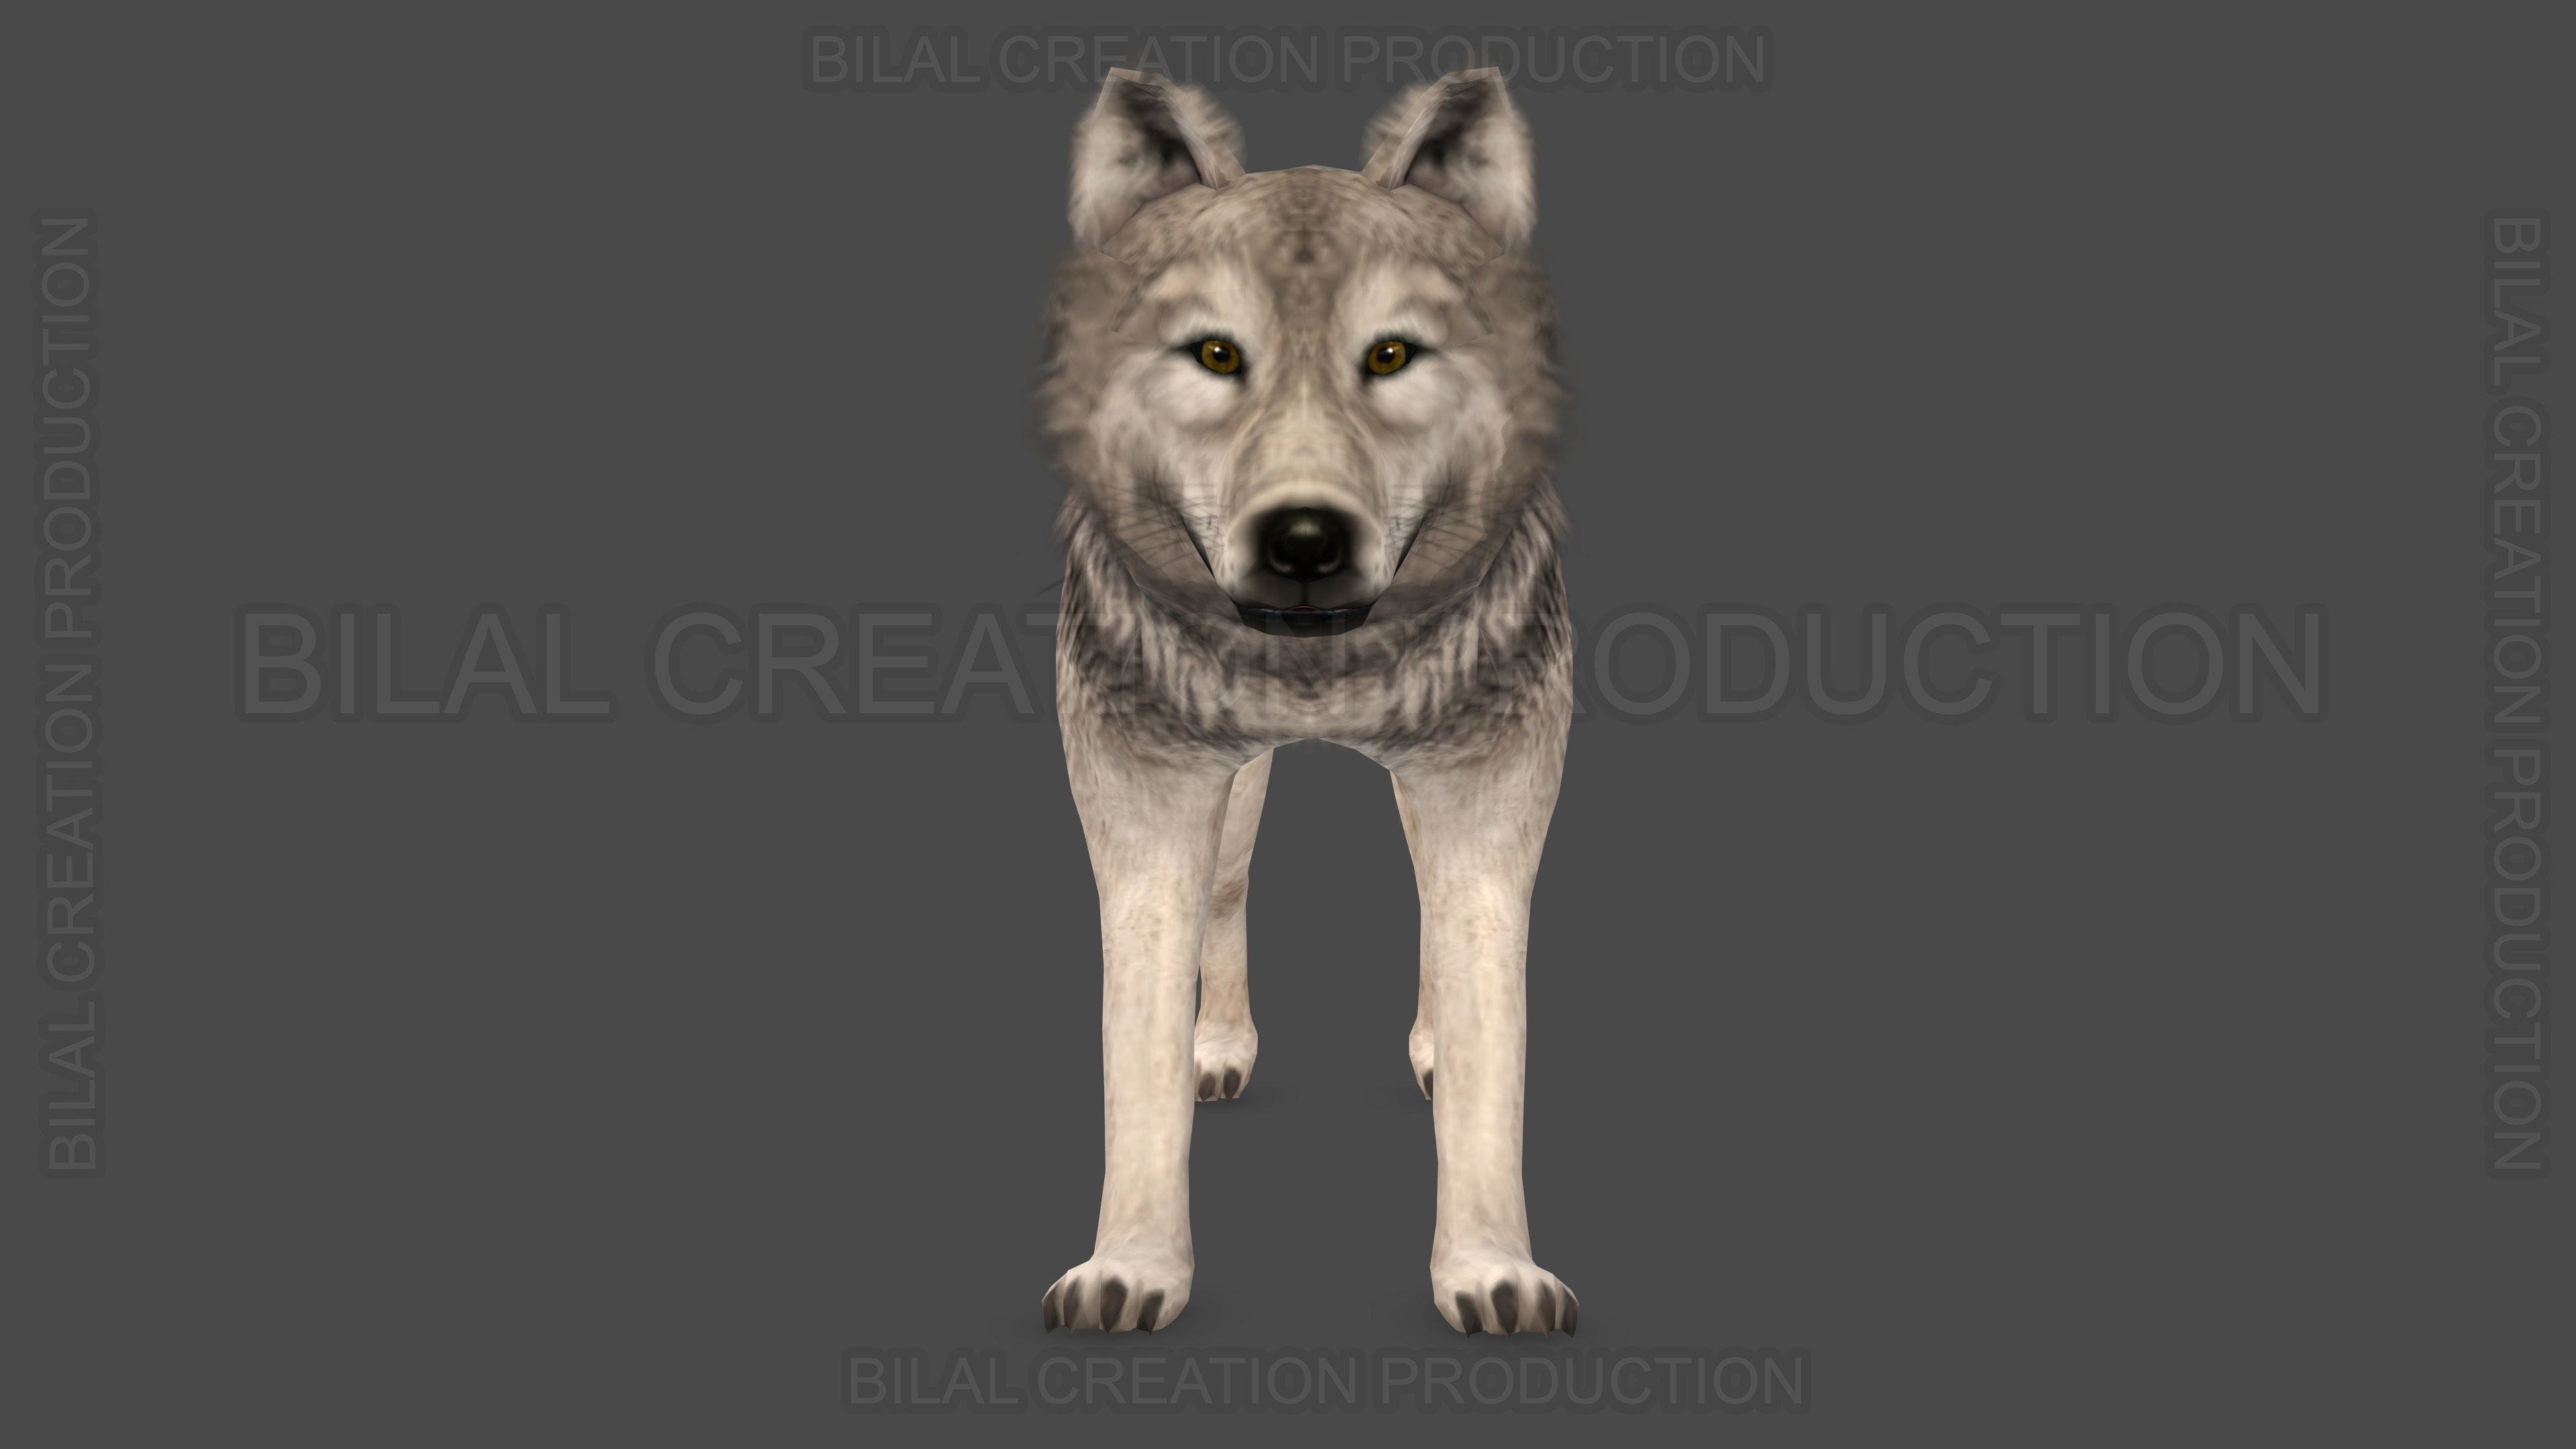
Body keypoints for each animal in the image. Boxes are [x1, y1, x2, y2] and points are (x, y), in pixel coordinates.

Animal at [1037, 67, 1576, 1337]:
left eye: (1390, 354)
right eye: (1215, 353)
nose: (1303, 540)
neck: (1319, 679)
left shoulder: (1488, 807)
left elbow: (1493, 1046)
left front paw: (1491, 1269)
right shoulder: (1144, 813)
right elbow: (1134, 1056)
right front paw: (1132, 1268)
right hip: (1232, 799)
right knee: (1232, 892)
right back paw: (1220, 1046)